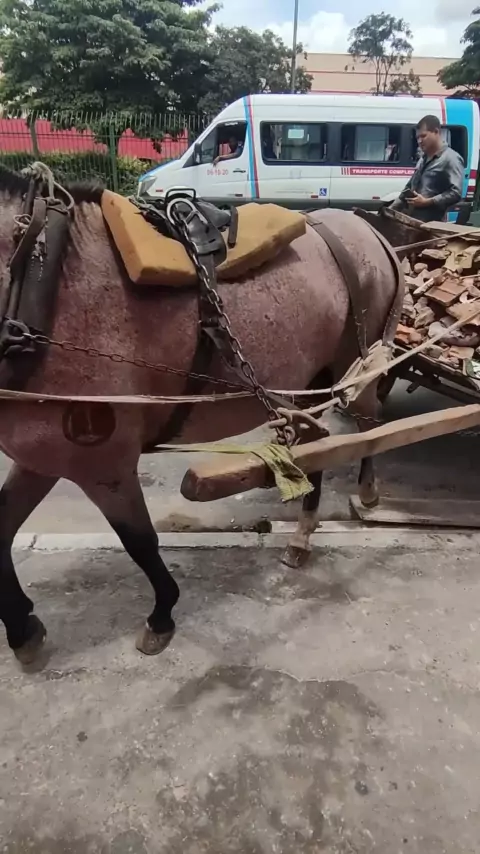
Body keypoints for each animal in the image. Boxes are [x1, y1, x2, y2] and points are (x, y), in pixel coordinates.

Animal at [0, 166, 402, 664]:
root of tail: (369, 230)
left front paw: (161, 614)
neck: (43, 280)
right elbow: (1, 530)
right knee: (319, 442)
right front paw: (22, 628)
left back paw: (366, 491)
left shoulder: (103, 462)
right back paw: (303, 533)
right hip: (313, 381)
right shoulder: (41, 456)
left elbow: (139, 540)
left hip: (354, 369)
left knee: (371, 425)